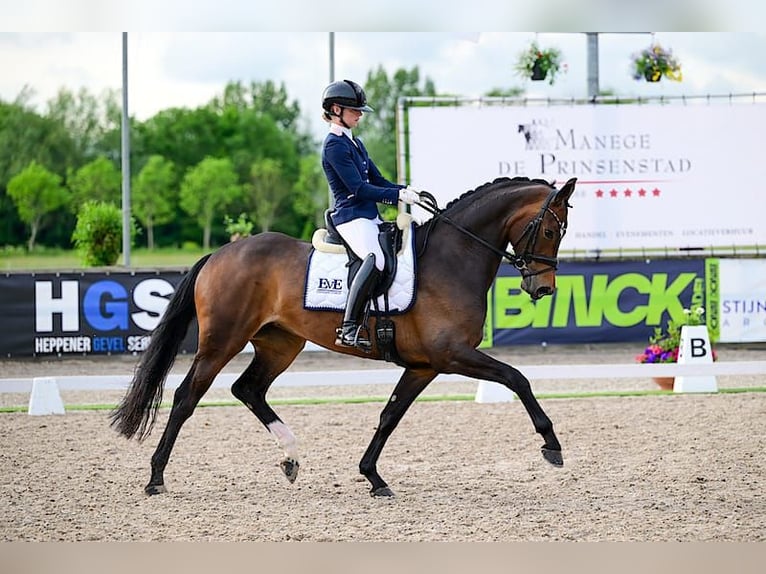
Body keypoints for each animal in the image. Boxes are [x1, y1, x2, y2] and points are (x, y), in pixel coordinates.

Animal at [111, 176, 580, 500]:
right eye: (550, 231)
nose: (543, 289)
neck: (452, 259)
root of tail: (220, 254)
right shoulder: (452, 354)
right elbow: (518, 378)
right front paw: (552, 445)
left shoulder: (424, 365)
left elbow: (389, 416)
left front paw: (373, 476)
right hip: (222, 341)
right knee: (186, 397)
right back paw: (156, 478)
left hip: (280, 343)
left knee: (248, 389)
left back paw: (291, 457)